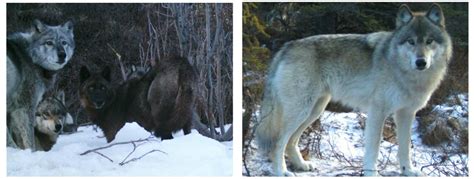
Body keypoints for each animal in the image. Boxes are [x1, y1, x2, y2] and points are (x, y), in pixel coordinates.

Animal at [7, 19, 74, 150]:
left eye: (64, 42)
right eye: (49, 43)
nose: (62, 54)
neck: (30, 57)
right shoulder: (24, 108)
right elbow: (29, 140)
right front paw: (30, 153)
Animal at [256, 3, 452, 177]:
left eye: (429, 41)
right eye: (411, 42)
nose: (421, 62)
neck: (402, 70)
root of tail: (286, 47)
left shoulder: (406, 114)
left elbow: (405, 148)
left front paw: (408, 171)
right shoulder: (378, 113)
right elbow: (373, 149)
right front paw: (372, 174)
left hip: (314, 111)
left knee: (291, 142)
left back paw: (301, 165)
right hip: (301, 111)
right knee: (277, 143)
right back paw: (281, 172)